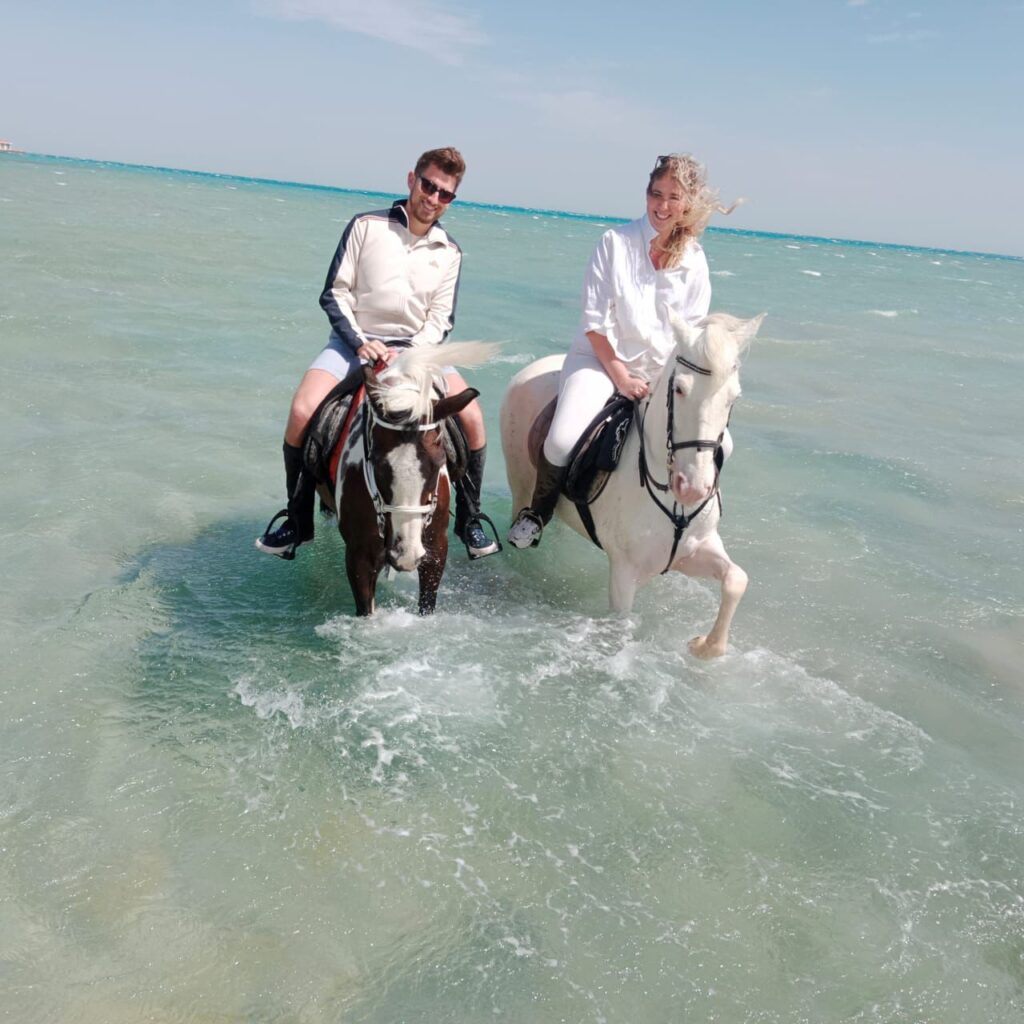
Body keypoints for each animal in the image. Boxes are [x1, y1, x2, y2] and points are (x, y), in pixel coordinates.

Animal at [499, 309, 765, 655]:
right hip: (520, 484)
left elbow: (736, 580)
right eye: (679, 389)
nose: (693, 487)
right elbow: (621, 623)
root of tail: (536, 367)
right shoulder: (625, 573)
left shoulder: (695, 550)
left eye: (735, 396)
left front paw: (704, 646)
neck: (672, 502)